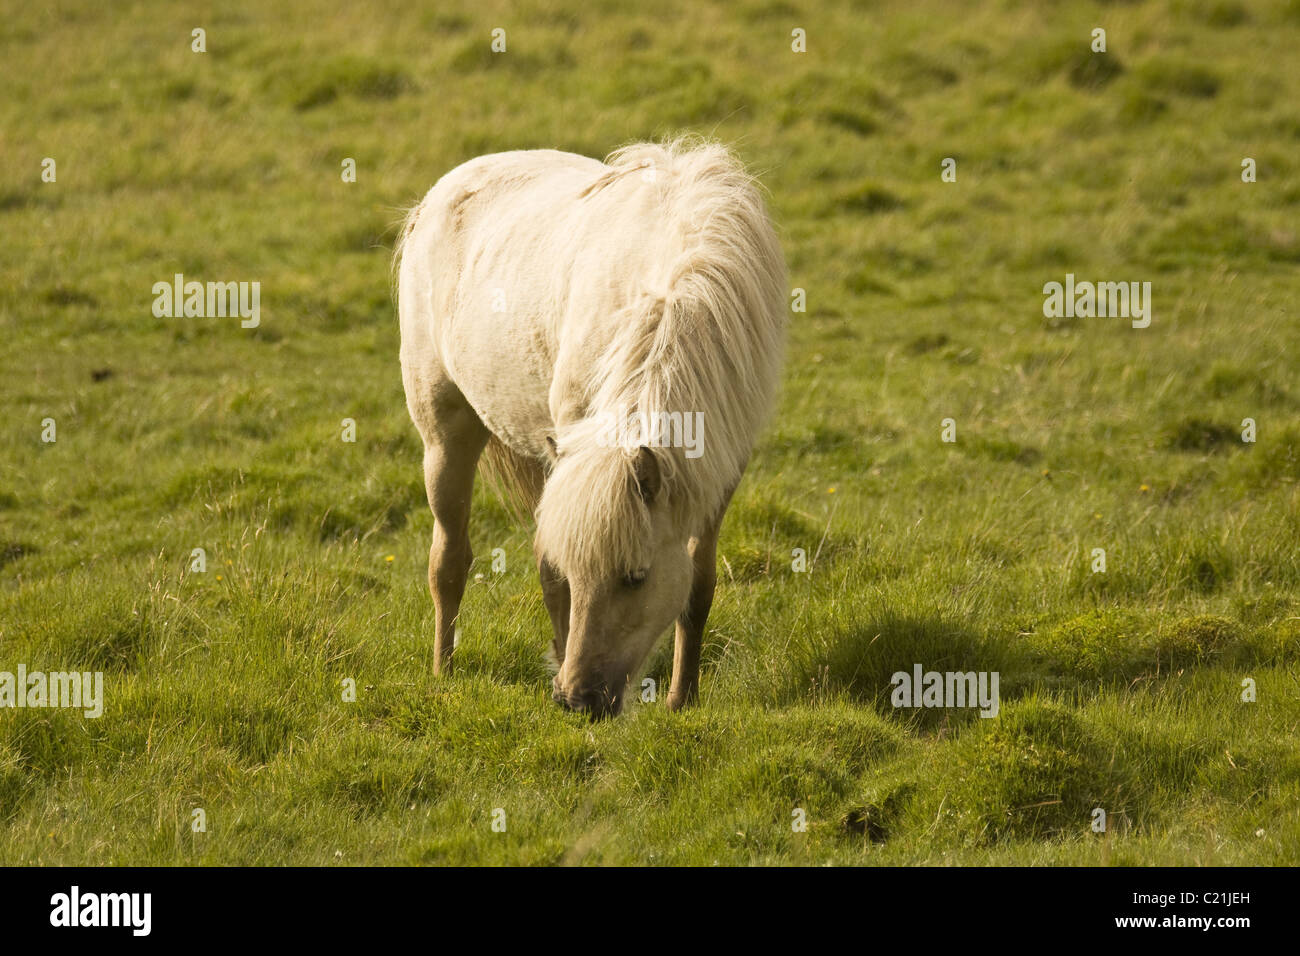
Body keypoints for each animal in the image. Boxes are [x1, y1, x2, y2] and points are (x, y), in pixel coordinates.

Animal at [392, 136, 780, 717]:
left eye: (635, 577)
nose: (578, 699)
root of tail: (437, 196)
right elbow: (560, 576)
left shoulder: (720, 471)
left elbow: (699, 586)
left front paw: (681, 700)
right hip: (446, 439)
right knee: (450, 561)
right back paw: (445, 670)